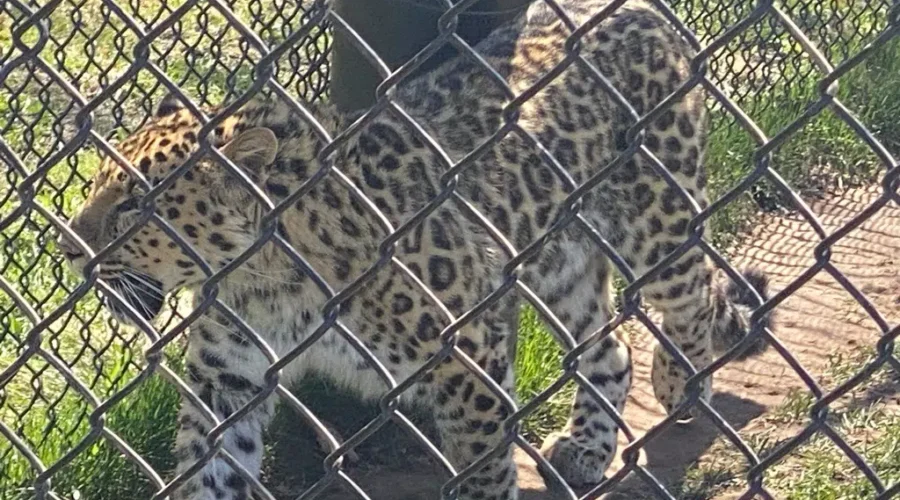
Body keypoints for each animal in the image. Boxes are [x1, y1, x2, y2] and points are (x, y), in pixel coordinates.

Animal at [58, 0, 773, 498]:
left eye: (135, 206)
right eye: (94, 183)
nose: (66, 246)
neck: (264, 278)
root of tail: (647, 11)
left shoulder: (470, 355)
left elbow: (484, 468)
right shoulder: (224, 379)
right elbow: (211, 471)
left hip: (660, 218)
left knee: (693, 297)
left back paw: (680, 383)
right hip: (560, 266)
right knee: (609, 348)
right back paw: (588, 447)